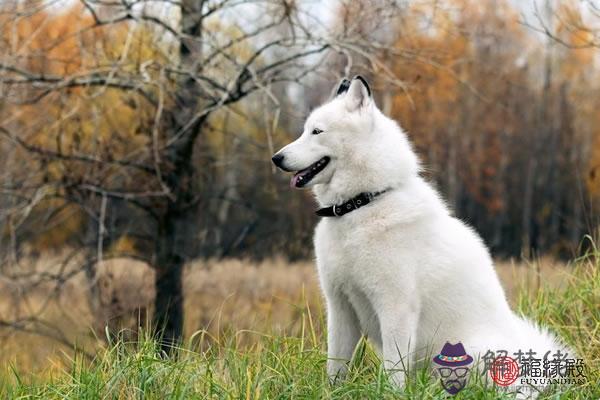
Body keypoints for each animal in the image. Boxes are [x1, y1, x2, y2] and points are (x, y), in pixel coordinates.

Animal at [274, 76, 572, 394]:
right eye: (305, 130)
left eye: (317, 131)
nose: (276, 158)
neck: (362, 204)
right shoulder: (340, 306)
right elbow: (336, 367)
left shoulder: (395, 307)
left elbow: (393, 370)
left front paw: (392, 395)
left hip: (472, 352)